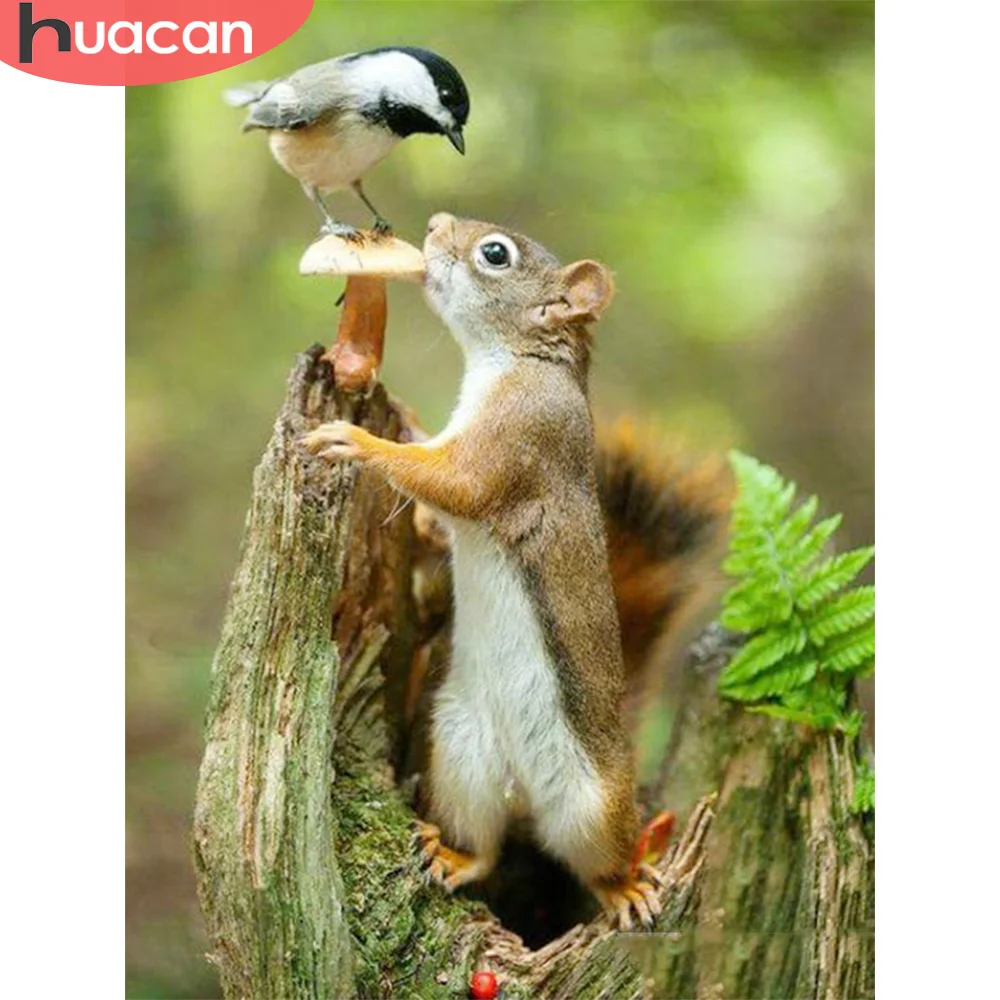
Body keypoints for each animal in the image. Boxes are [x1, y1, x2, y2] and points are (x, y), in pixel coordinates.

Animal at [303, 212, 731, 929]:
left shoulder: (518, 439)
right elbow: (437, 504)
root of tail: (523, 791)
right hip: (459, 755)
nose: (434, 225)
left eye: (495, 254)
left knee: (598, 861)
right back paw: (452, 855)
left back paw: (627, 886)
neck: (515, 361)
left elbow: (454, 484)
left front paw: (357, 441)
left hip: (593, 805)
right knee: (487, 846)